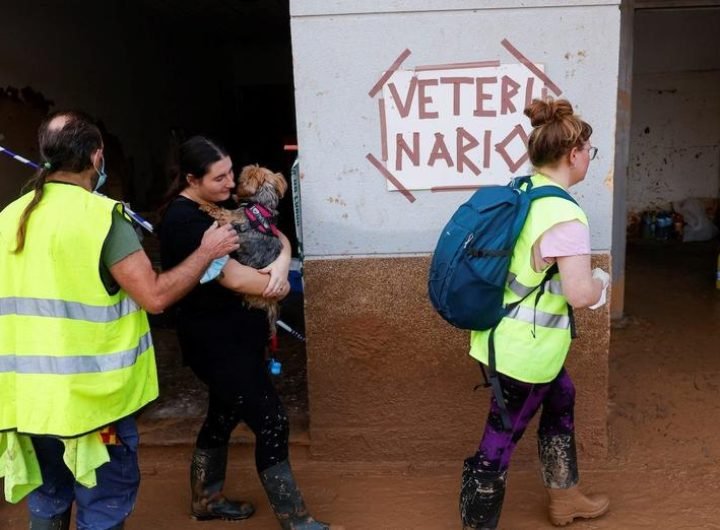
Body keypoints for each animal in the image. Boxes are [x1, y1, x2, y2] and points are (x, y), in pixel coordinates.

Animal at [200, 163, 290, 332]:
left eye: (240, 182)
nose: (233, 190)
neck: (261, 203)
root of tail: (272, 303)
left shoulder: (230, 218)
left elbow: (219, 210)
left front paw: (204, 204)